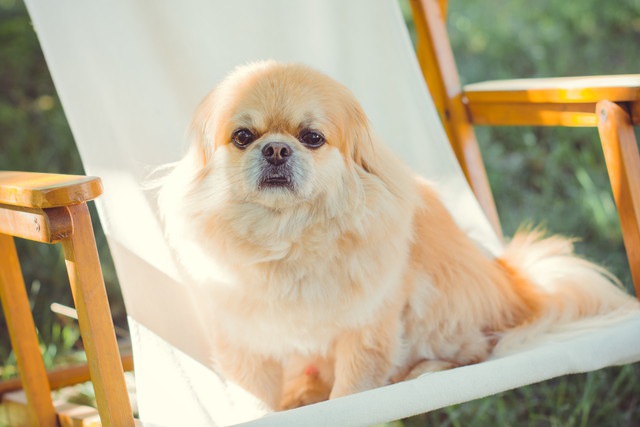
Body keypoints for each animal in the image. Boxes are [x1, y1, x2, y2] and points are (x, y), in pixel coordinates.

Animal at [156, 60, 640, 412]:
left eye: (312, 137)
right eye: (243, 136)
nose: (275, 148)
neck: (288, 236)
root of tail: (518, 287)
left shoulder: (366, 332)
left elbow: (351, 392)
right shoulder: (247, 342)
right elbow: (256, 400)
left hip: (438, 310)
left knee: (475, 351)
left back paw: (421, 373)